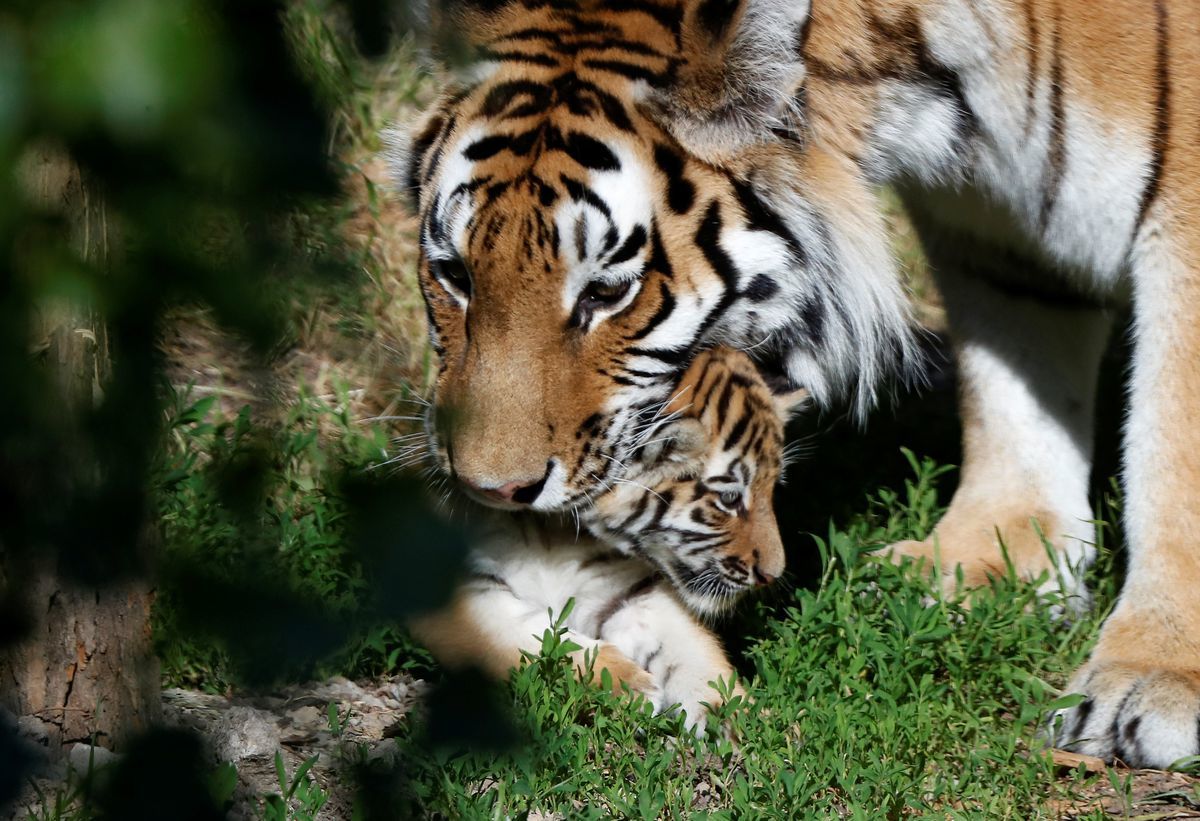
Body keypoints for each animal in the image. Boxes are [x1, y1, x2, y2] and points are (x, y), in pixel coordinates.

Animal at [398, 1, 1200, 768]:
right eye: (454, 275)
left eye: (606, 291)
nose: (491, 491)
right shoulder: (992, 229)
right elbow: (1014, 378)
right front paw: (985, 561)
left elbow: (1173, 441)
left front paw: (1150, 679)